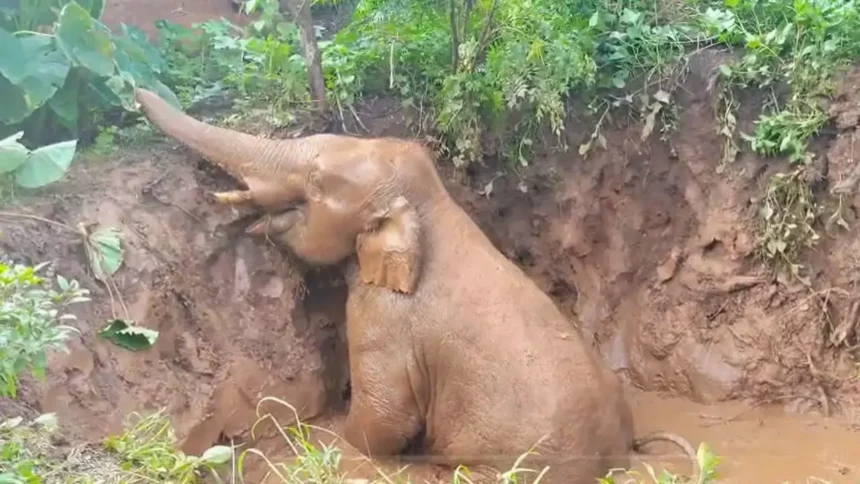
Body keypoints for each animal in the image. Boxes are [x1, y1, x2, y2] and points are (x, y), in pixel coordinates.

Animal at [133, 88, 697, 483]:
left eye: (316, 183)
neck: (431, 205)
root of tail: (622, 457)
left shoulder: (383, 314)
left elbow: (383, 422)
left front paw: (327, 436)